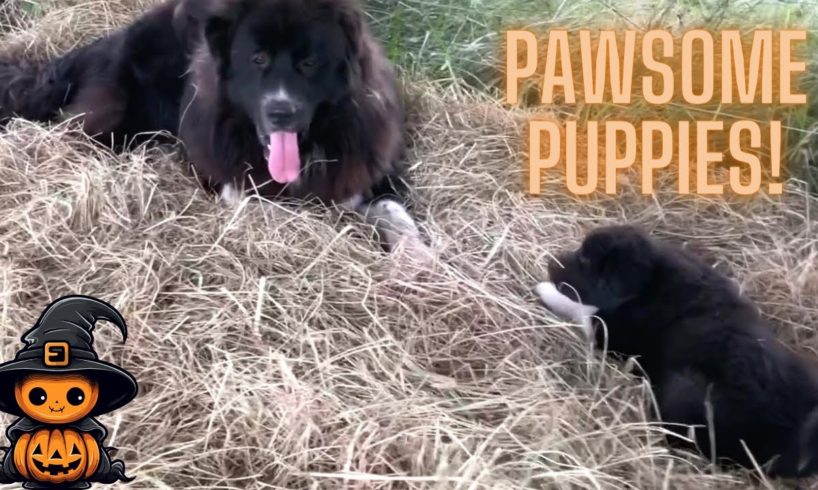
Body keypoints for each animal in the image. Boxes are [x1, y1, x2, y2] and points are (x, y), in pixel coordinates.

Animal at [0, 0, 430, 258]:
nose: (281, 111)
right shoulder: (229, 176)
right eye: (257, 59)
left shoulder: (371, 166)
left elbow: (395, 211)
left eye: (309, 63)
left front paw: (416, 262)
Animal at [532, 227, 816, 478]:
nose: (549, 261)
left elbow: (585, 311)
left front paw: (546, 290)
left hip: (684, 392)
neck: (651, 282)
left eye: (584, 260)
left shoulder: (616, 335)